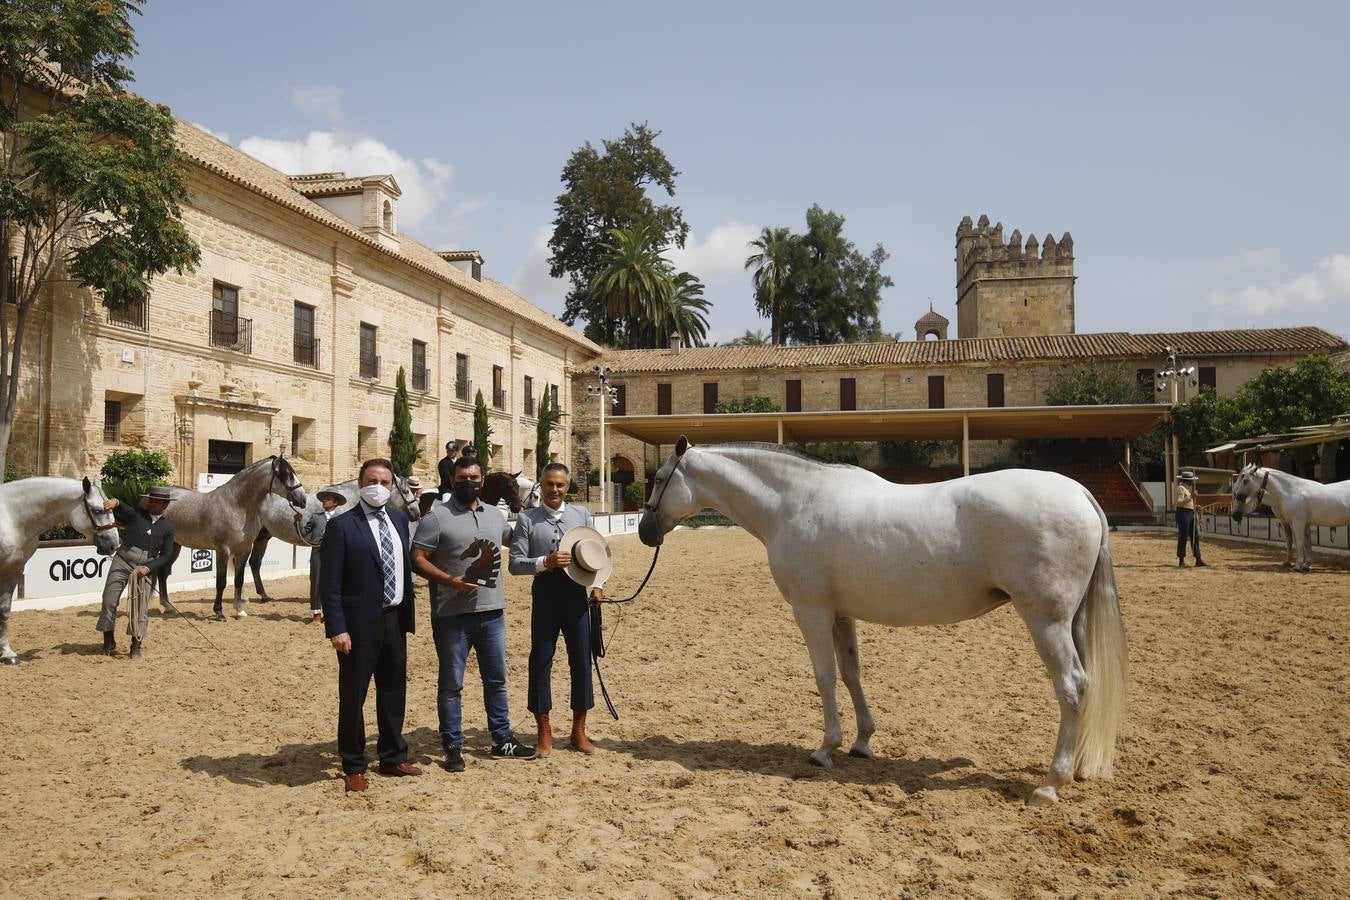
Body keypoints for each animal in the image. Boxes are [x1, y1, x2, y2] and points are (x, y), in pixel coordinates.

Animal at [0, 477, 120, 661]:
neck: (11, 518)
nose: (114, 544)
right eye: (97, 511)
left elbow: (4, 610)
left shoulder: (13, 570)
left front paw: (7, 653)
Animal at [162, 458, 305, 620]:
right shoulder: (223, 550)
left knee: (163, 573)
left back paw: (168, 606)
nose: (303, 498)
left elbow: (239, 580)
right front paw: (219, 612)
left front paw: (240, 610)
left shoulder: (244, 550)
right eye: (286, 474)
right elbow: (221, 582)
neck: (236, 506)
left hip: (175, 545)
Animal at [637, 439, 1123, 804]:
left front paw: (824, 750)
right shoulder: (840, 613)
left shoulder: (811, 611)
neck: (794, 502)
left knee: (1072, 686)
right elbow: (851, 673)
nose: (644, 532)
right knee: (1087, 684)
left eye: (660, 479)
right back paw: (1078, 768)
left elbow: (825, 677)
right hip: (1071, 622)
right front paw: (861, 742)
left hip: (1046, 621)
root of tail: (1079, 493)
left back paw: (1050, 784)